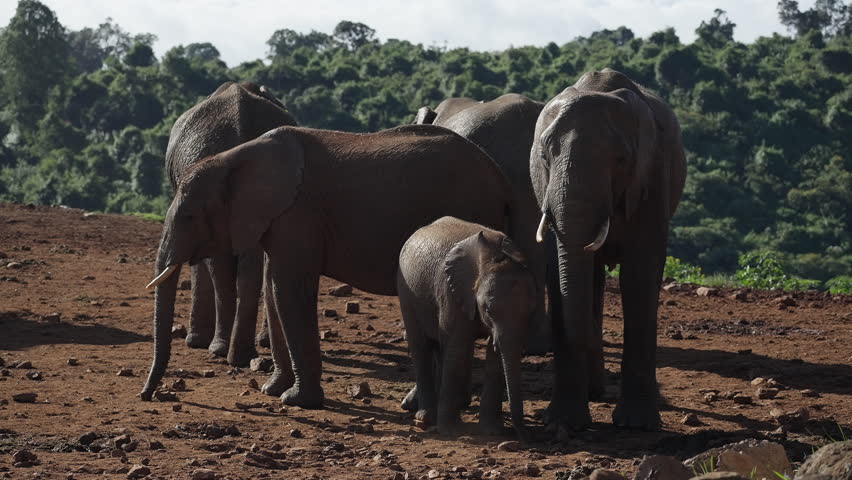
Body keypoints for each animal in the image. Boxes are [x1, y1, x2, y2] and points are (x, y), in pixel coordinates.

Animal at [140, 124, 514, 407]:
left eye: (189, 217)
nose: (147, 395)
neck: (235, 157)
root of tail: (499, 176)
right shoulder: (279, 219)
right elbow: (274, 291)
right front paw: (272, 390)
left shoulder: (298, 213)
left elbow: (289, 290)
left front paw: (296, 400)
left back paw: (417, 404)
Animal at [397, 216, 534, 439]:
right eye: (487, 309)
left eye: (532, 311)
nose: (524, 436)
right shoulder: (451, 291)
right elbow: (458, 347)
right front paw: (450, 431)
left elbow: (494, 355)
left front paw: (493, 431)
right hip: (405, 291)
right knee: (421, 345)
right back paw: (425, 418)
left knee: (439, 347)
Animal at [530, 69, 686, 431]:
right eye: (544, 156)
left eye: (621, 160)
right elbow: (558, 271)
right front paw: (564, 422)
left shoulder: (652, 175)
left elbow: (640, 275)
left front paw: (637, 424)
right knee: (593, 278)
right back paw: (593, 390)